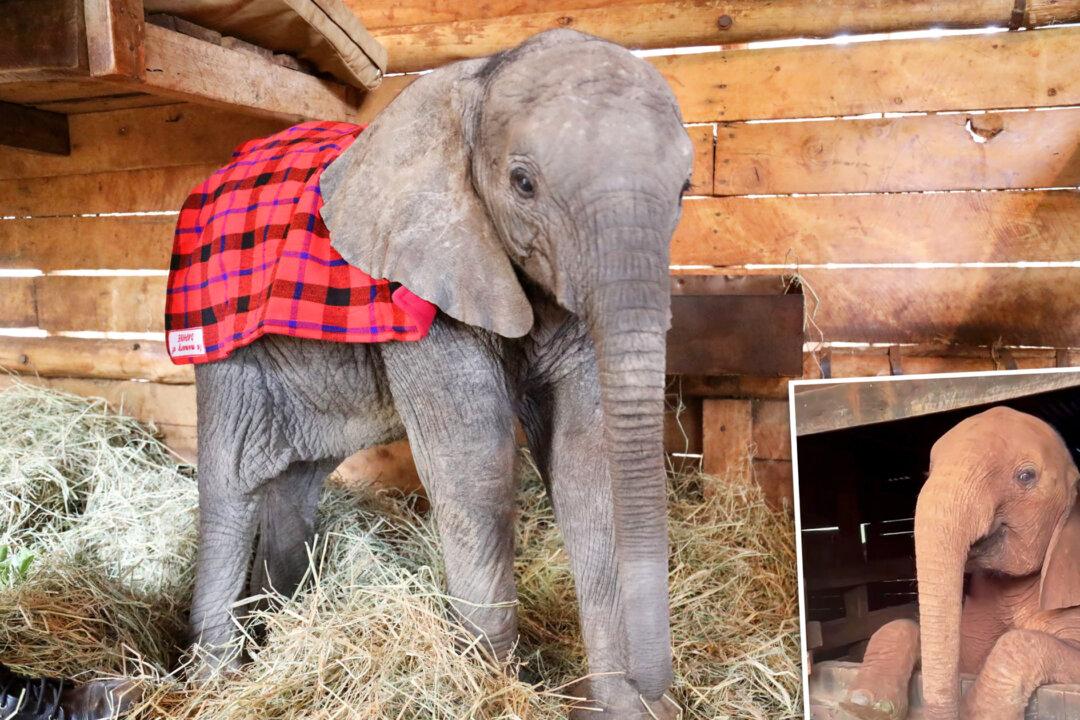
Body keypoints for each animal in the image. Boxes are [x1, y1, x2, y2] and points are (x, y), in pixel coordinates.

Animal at [185, 29, 692, 719]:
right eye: (523, 183)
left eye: (686, 189)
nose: (654, 687)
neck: (473, 85)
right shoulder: (425, 285)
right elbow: (474, 465)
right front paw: (494, 691)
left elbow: (586, 466)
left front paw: (616, 708)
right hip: (220, 333)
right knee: (232, 483)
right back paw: (217, 684)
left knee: (296, 479)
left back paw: (278, 635)